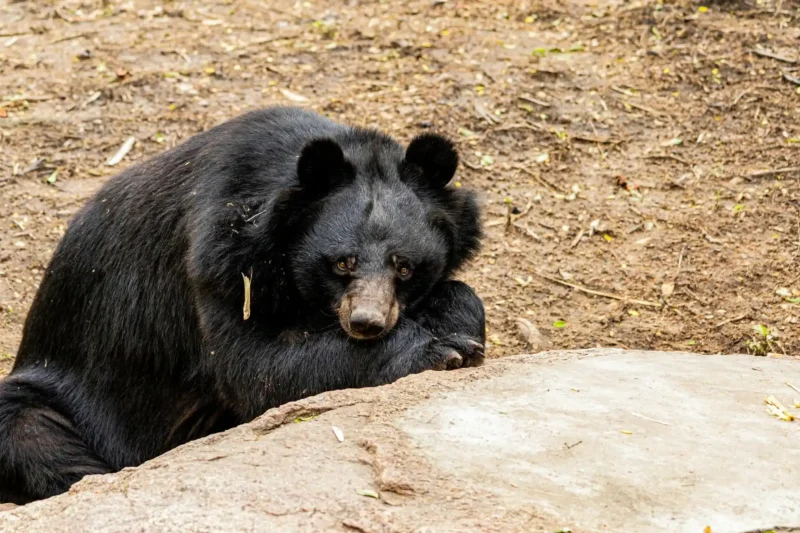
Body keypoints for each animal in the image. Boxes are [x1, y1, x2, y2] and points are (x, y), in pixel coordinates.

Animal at [0, 106, 485, 504]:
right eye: (342, 262)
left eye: (404, 266)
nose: (367, 323)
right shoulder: (219, 259)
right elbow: (255, 368)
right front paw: (439, 350)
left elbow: (460, 294)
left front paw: (460, 330)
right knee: (30, 431)